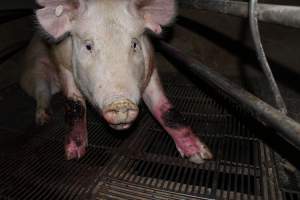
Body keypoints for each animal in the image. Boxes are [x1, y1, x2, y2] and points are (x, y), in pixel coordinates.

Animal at [20, 0, 213, 163]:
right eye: (88, 46)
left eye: (134, 44)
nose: (121, 103)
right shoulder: (63, 65)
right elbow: (75, 105)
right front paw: (73, 155)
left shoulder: (151, 67)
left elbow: (165, 110)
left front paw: (200, 156)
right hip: (36, 68)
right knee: (41, 91)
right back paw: (43, 119)